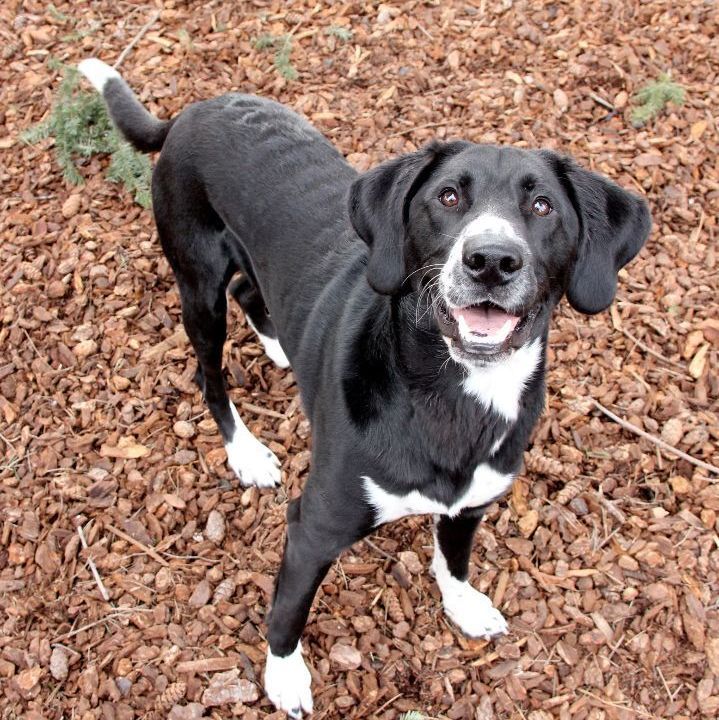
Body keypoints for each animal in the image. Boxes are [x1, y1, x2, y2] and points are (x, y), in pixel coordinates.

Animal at [79, 59, 652, 716]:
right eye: (448, 196)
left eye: (541, 206)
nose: (491, 260)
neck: (452, 398)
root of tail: (190, 112)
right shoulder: (314, 527)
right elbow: (288, 610)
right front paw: (284, 676)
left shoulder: (471, 503)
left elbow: (454, 559)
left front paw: (463, 604)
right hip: (196, 279)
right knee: (208, 371)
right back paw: (245, 451)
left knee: (251, 289)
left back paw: (281, 346)